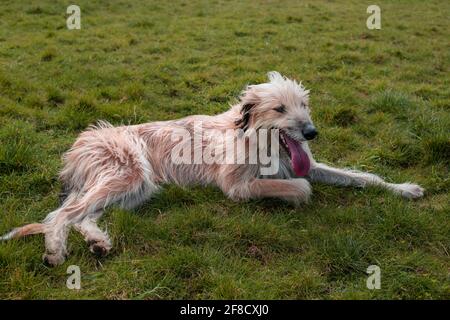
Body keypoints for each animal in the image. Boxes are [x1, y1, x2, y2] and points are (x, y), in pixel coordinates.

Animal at [0, 72, 424, 264]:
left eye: (303, 105)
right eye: (279, 109)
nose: (311, 132)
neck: (255, 138)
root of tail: (79, 146)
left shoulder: (306, 164)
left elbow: (360, 176)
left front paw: (402, 188)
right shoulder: (237, 186)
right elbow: (302, 188)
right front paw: (299, 197)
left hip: (137, 186)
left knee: (84, 215)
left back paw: (97, 241)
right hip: (126, 173)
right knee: (61, 215)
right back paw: (56, 250)